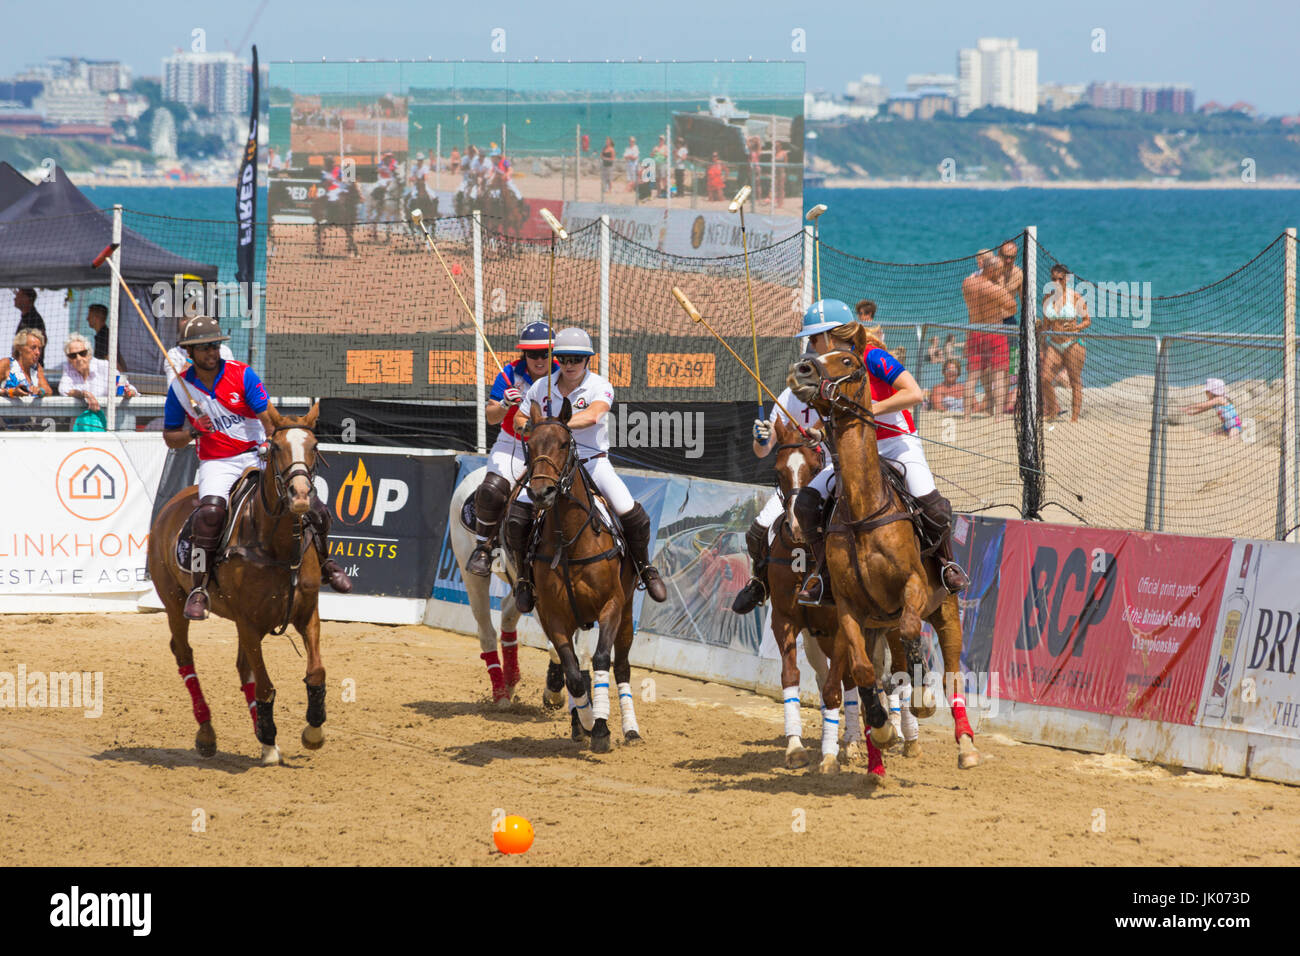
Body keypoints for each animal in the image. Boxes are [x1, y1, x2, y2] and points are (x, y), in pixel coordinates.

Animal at [148, 403, 330, 764]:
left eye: (314, 446)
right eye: (276, 448)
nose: (302, 496)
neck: (276, 546)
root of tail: (172, 502)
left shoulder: (307, 613)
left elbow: (315, 671)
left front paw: (311, 731)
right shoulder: (248, 621)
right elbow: (265, 685)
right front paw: (270, 734)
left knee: (242, 667)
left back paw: (264, 737)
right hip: (174, 600)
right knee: (184, 653)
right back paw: (207, 733)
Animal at [517, 400, 639, 749]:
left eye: (563, 444)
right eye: (530, 445)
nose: (541, 492)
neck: (569, 541)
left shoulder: (612, 605)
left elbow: (601, 660)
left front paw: (601, 727)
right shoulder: (553, 616)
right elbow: (573, 675)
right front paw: (586, 721)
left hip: (627, 611)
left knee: (621, 666)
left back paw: (630, 728)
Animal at [785, 351, 977, 770]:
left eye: (847, 361)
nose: (801, 369)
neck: (863, 511)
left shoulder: (913, 588)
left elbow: (910, 636)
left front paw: (920, 699)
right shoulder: (848, 608)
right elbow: (862, 670)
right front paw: (881, 727)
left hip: (945, 609)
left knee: (950, 674)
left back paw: (965, 745)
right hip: (874, 625)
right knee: (865, 671)